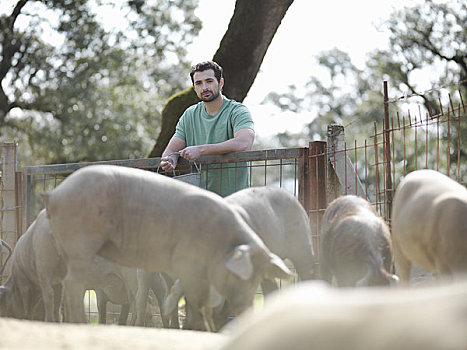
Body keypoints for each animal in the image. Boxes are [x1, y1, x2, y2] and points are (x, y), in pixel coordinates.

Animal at [42, 165, 294, 330]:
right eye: (242, 276)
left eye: (258, 278)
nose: (246, 310)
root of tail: (56, 193)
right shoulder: (189, 264)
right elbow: (195, 300)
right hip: (81, 244)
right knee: (76, 286)